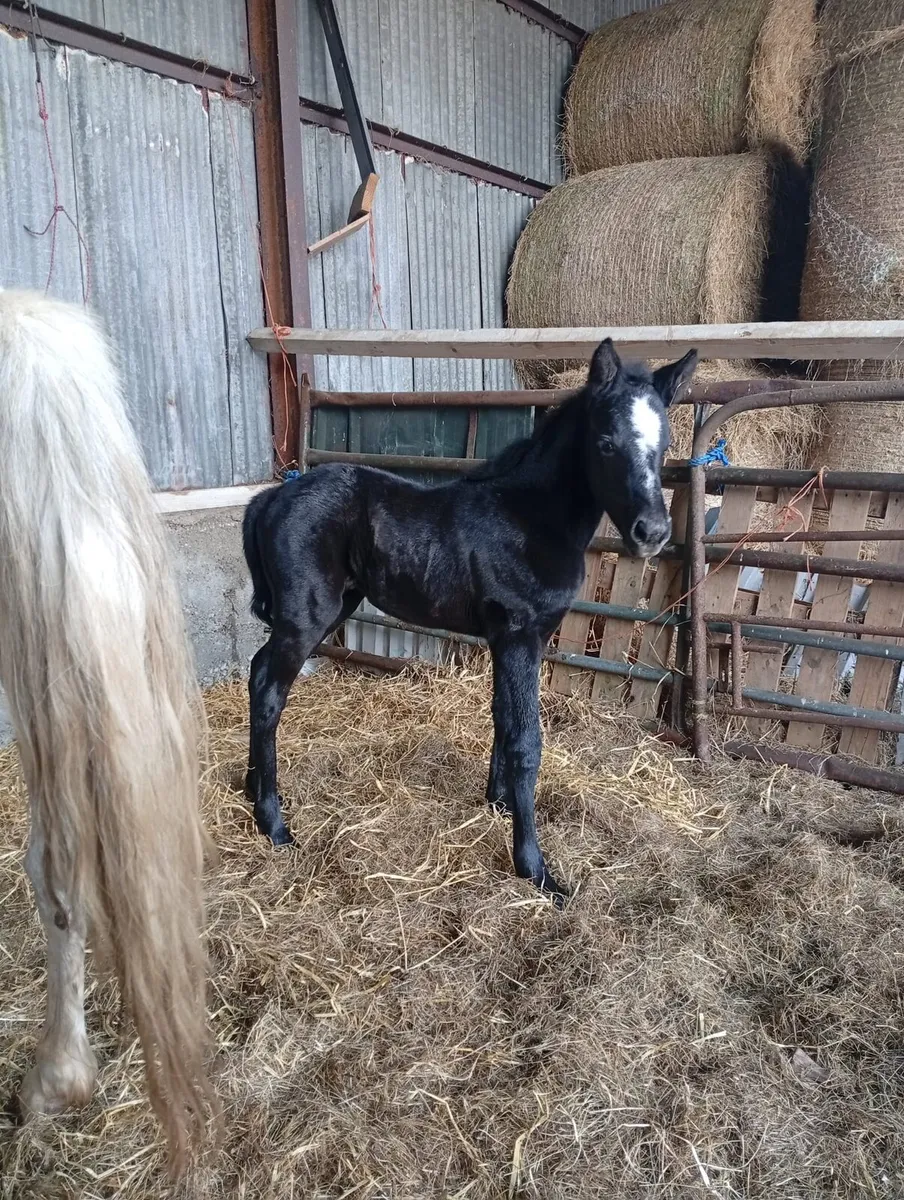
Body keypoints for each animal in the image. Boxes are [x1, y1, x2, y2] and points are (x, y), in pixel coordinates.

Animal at [242, 339, 697, 904]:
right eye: (607, 442)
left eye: (666, 442)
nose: (651, 532)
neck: (531, 517)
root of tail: (272, 496)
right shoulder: (521, 636)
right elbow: (527, 741)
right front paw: (535, 868)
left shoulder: (508, 640)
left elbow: (503, 718)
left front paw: (497, 803)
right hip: (308, 616)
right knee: (268, 690)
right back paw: (273, 822)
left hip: (328, 608)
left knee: (257, 670)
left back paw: (251, 787)